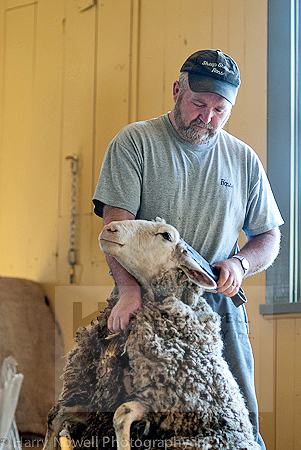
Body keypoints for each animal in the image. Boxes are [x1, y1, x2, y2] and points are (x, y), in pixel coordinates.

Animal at [42, 218, 260, 450]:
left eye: (166, 236)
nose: (109, 228)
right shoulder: (99, 402)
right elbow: (57, 413)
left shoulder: (163, 401)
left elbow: (122, 414)